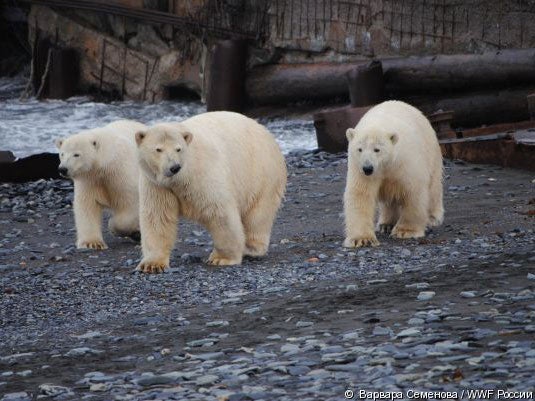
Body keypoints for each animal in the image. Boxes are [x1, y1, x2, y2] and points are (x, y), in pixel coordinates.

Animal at [55, 119, 147, 248]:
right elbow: (87, 205)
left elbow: (130, 202)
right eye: (62, 154)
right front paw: (92, 243)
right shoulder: (90, 180)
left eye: (76, 154)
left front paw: (115, 226)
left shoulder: (121, 173)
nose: (63, 169)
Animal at [136, 111, 286, 274]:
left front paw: (221, 258)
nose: (174, 167)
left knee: (258, 215)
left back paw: (251, 248)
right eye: (158, 149)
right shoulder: (156, 185)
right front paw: (152, 264)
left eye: (178, 149)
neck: (179, 179)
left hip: (261, 174)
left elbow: (218, 212)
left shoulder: (202, 174)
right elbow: (158, 217)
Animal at [344, 99, 444, 247]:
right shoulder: (359, 169)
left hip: (431, 150)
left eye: (377, 149)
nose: (368, 168)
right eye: (359, 149)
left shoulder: (405, 162)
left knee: (433, 187)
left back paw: (432, 218)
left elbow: (413, 192)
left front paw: (405, 231)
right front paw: (361, 239)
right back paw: (385, 224)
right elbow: (360, 194)